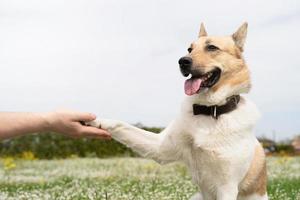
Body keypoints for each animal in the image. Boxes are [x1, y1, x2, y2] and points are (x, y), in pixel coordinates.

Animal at [87, 22, 268, 199]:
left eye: (212, 48)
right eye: (189, 49)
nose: (182, 61)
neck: (210, 110)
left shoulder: (227, 187)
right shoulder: (159, 147)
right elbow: (121, 125)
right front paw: (94, 121)